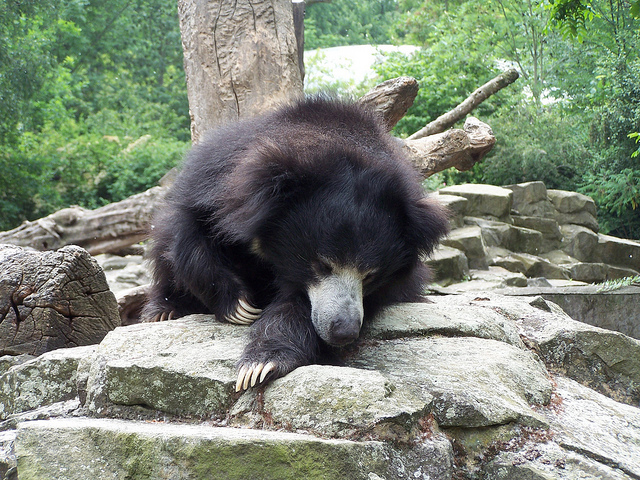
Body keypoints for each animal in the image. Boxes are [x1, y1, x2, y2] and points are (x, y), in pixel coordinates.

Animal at [142, 96, 448, 390]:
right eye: (322, 265)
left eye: (371, 276)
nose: (344, 331)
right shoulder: (216, 178)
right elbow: (188, 233)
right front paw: (239, 307)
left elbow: (298, 307)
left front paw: (261, 364)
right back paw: (163, 311)